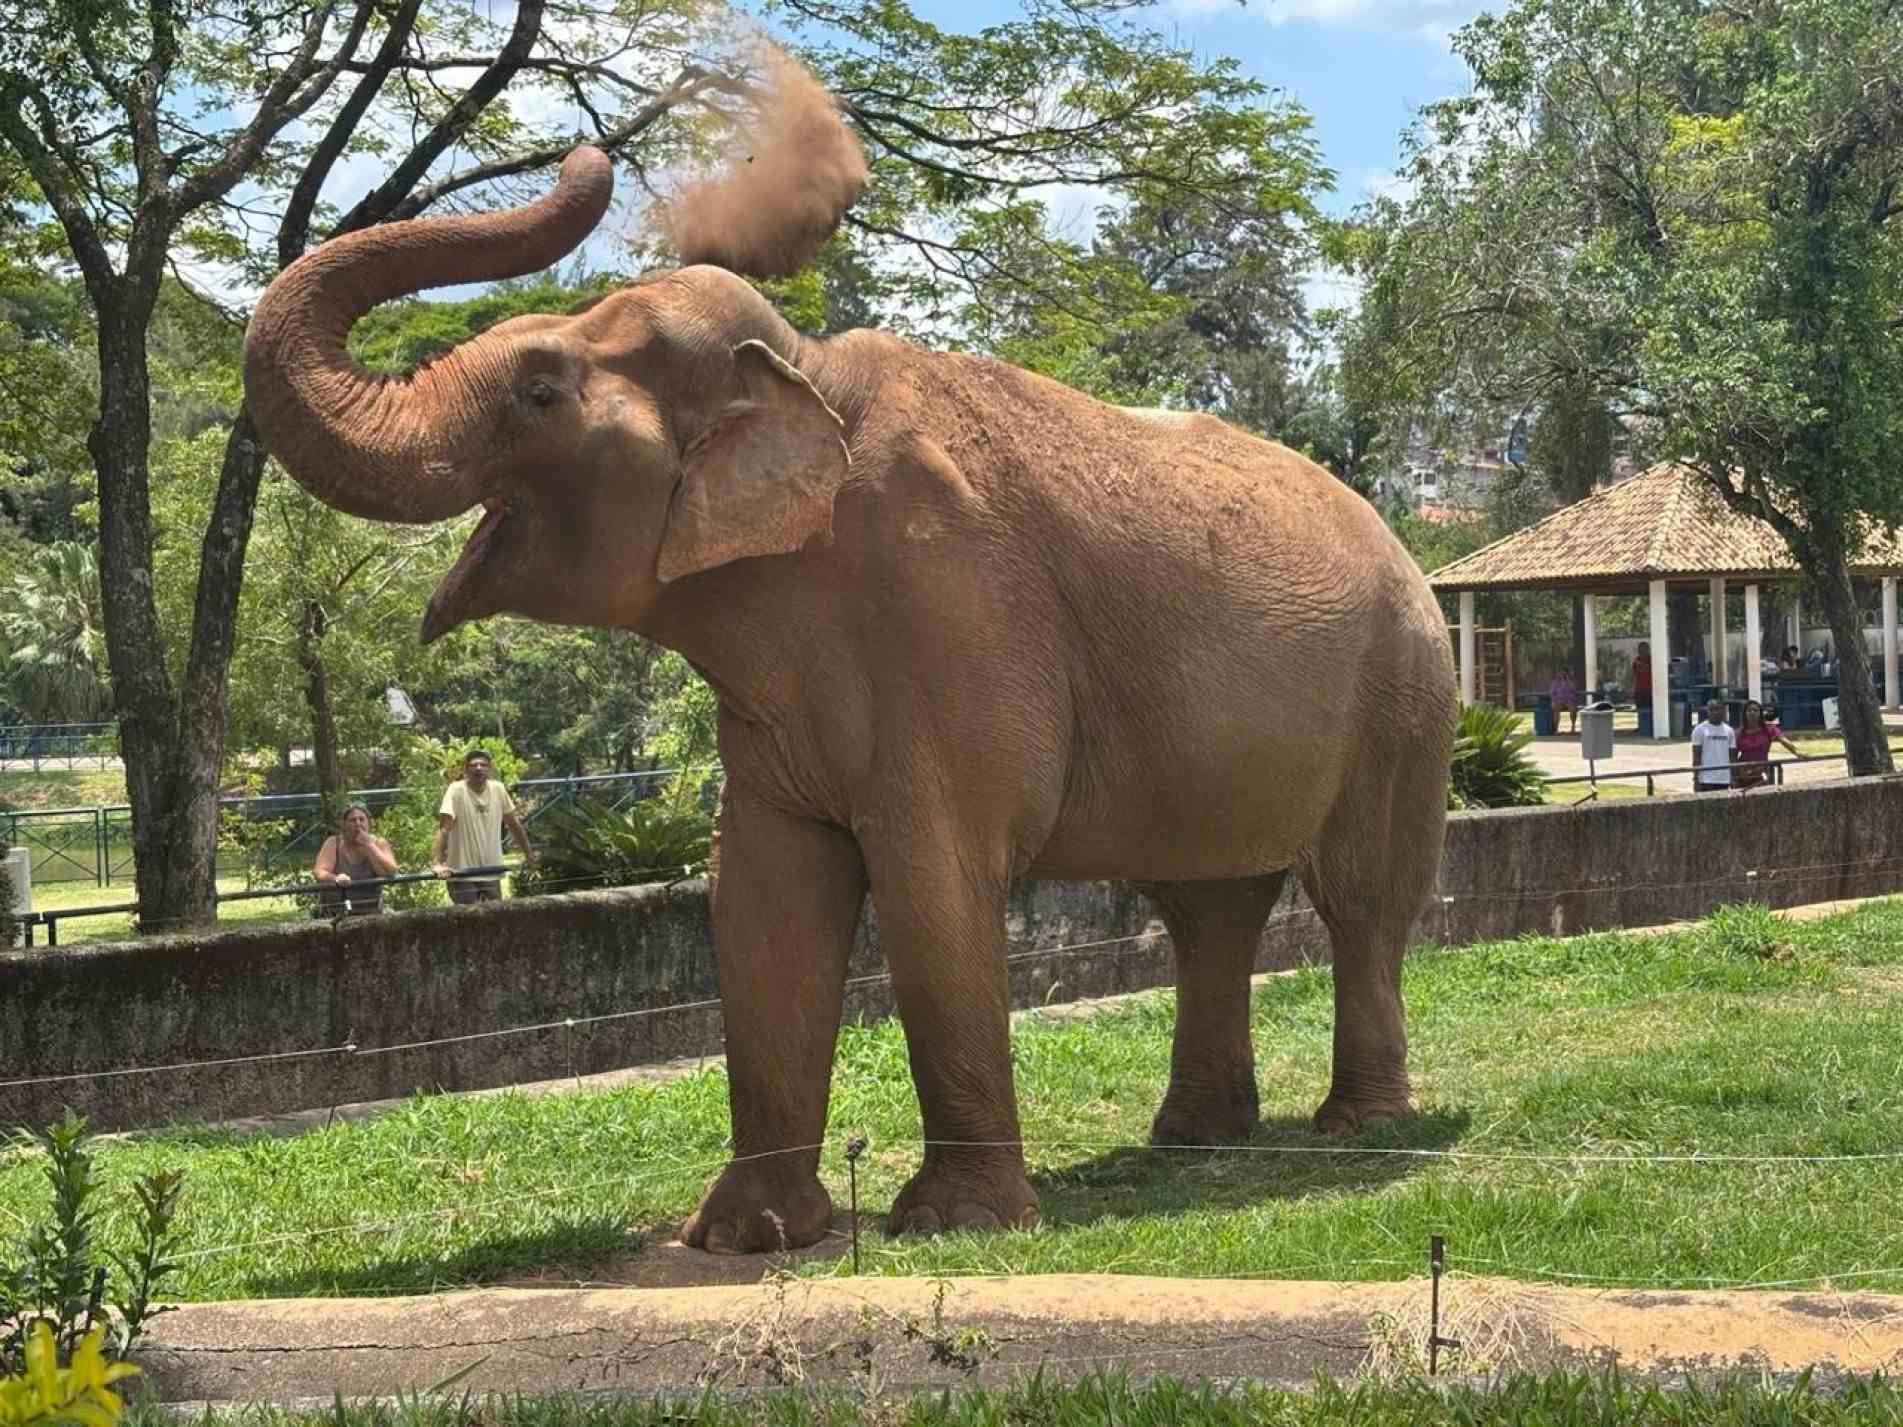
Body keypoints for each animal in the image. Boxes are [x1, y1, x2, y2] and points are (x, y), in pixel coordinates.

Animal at [243, 146, 1457, 1253]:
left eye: (539, 391)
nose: (594, 156)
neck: (802, 371)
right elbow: (762, 898)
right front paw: (745, 1237)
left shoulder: (952, 607)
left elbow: (934, 883)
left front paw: (956, 1225)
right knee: (1209, 905)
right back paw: (1193, 1139)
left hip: (1406, 695)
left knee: (1360, 899)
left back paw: (1357, 1127)